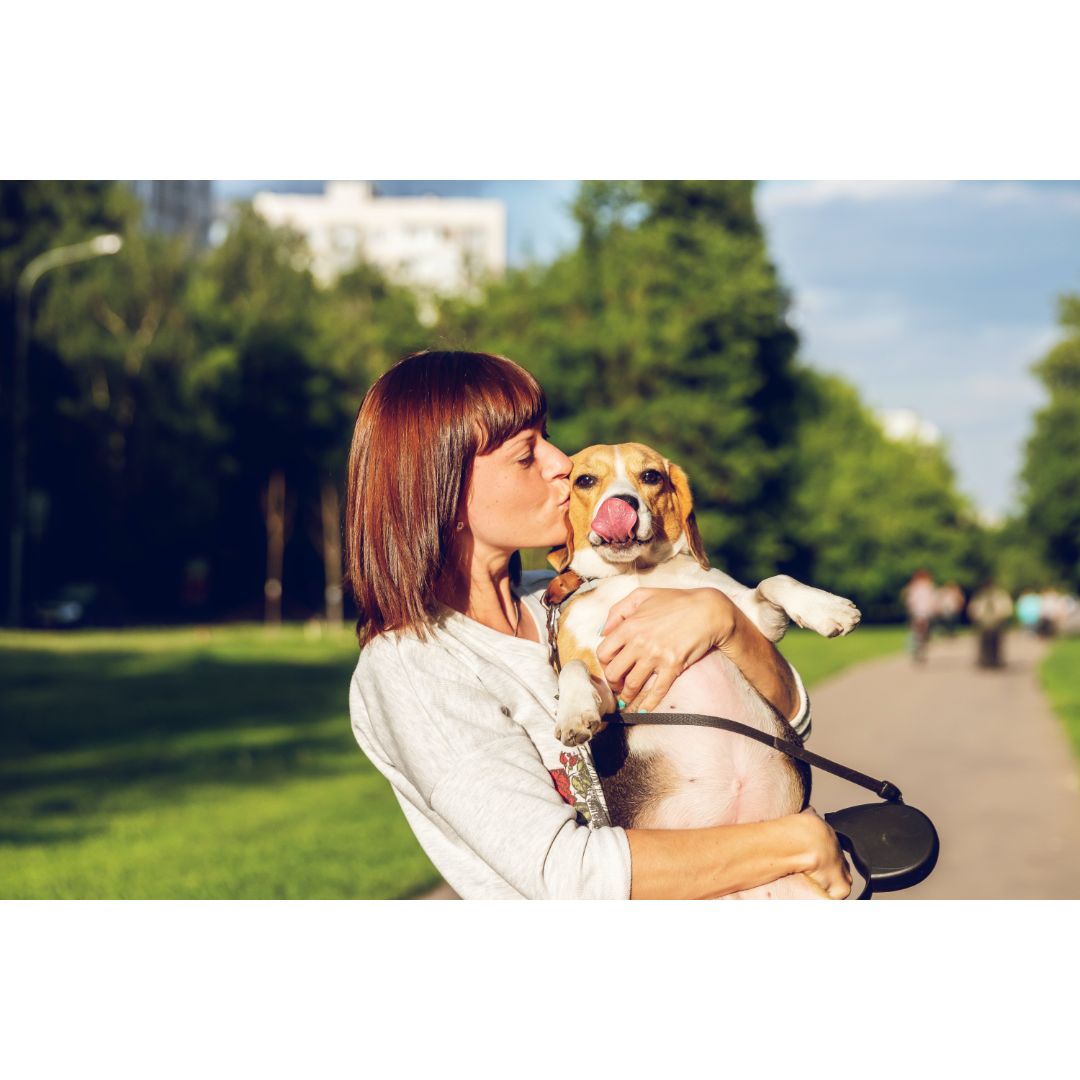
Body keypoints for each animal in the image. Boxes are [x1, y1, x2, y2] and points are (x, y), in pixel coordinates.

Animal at [548, 442, 859, 898]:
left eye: (651, 476)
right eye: (585, 480)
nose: (622, 505)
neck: (636, 574)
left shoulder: (751, 617)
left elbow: (774, 580)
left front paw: (826, 608)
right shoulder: (608, 690)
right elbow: (571, 667)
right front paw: (573, 714)